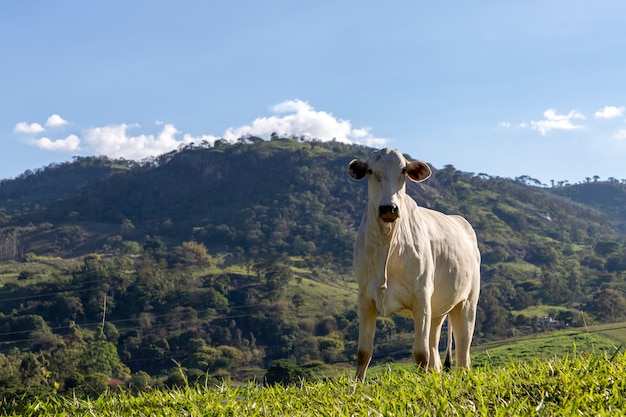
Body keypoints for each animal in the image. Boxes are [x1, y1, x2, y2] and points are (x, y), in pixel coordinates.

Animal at [346, 148, 478, 382]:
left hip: (466, 303)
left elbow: (421, 354)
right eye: (371, 171)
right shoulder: (365, 298)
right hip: (437, 312)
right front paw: (357, 387)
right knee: (436, 354)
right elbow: (364, 352)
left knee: (462, 354)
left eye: (403, 171)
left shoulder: (421, 297)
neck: (388, 241)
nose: (388, 208)